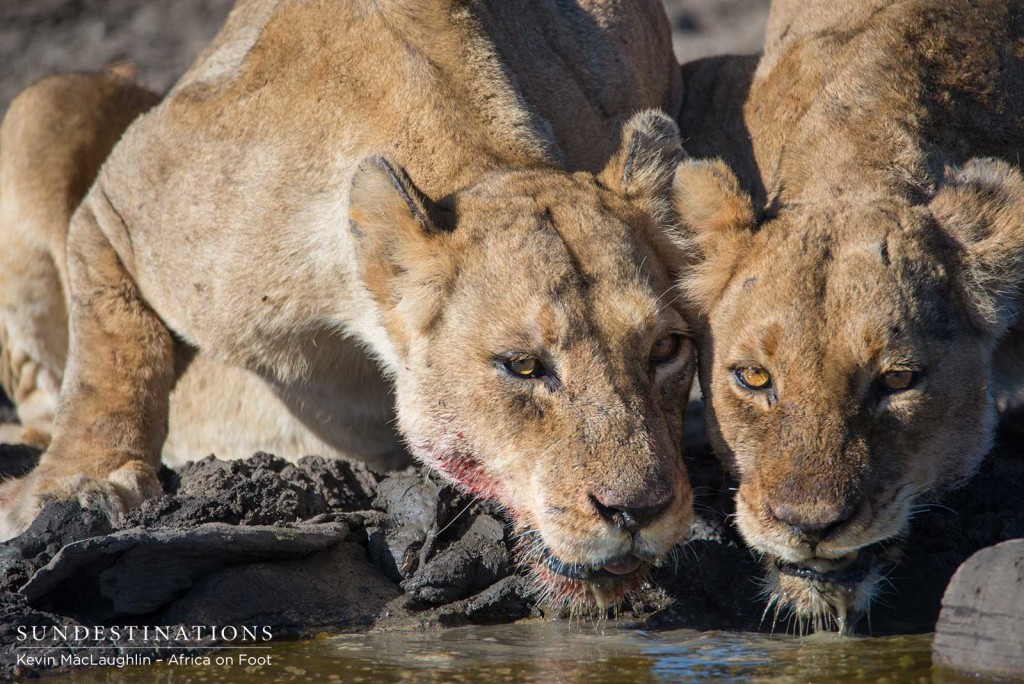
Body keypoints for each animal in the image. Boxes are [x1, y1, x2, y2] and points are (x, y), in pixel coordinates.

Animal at [0, 0, 696, 610]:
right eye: (522, 366)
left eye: (665, 349)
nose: (639, 511)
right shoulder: (122, 201)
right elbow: (113, 351)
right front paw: (82, 485)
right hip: (42, 106)